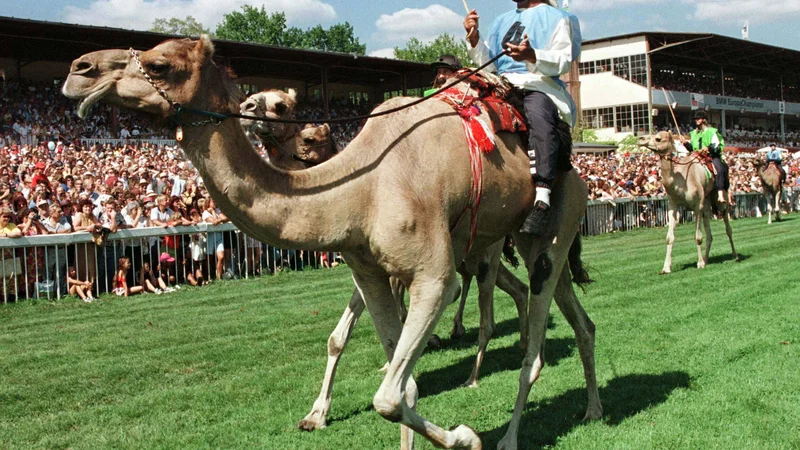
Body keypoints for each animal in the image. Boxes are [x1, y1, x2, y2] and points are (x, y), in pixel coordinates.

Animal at [64, 37, 600, 450]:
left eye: (159, 64)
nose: (78, 70)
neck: (360, 188)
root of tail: (577, 167)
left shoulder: (432, 275)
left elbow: (389, 394)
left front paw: (467, 436)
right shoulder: (369, 270)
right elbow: (401, 385)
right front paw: (318, 414)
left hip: (551, 221)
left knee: (532, 341)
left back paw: (508, 433)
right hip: (525, 239)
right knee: (577, 316)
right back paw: (593, 408)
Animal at [636, 131, 736, 274]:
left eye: (658, 138)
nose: (640, 138)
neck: (680, 180)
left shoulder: (697, 206)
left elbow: (698, 237)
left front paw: (699, 263)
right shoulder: (673, 206)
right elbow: (669, 237)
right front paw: (665, 268)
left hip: (720, 198)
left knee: (727, 225)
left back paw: (735, 255)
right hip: (706, 202)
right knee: (709, 231)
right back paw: (706, 259)